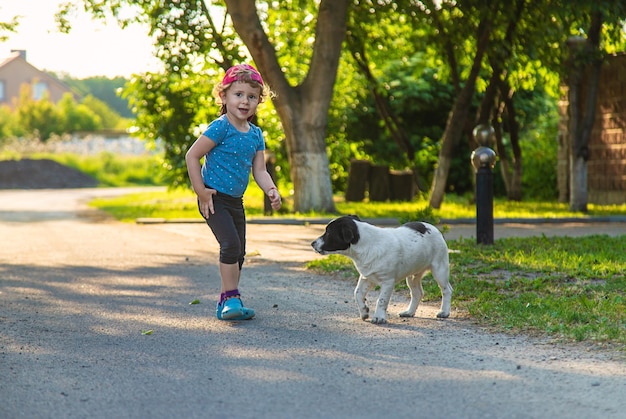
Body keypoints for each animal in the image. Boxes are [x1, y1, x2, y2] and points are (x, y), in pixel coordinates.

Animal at [310, 217, 448, 324]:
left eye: (328, 233)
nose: (312, 243)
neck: (366, 245)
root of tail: (432, 227)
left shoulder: (387, 282)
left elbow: (381, 300)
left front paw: (379, 317)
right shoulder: (366, 277)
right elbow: (357, 293)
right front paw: (364, 311)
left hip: (439, 269)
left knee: (446, 290)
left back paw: (444, 312)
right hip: (413, 275)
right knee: (417, 293)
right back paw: (409, 312)